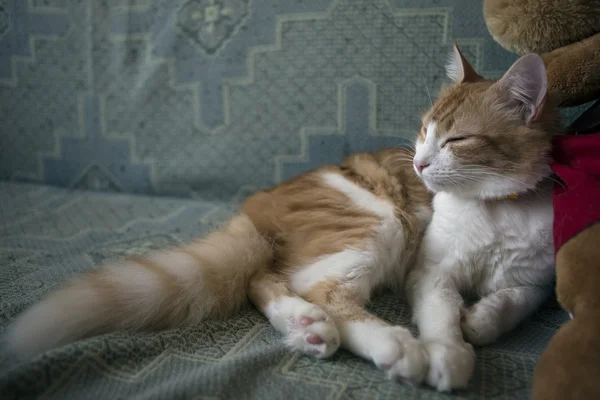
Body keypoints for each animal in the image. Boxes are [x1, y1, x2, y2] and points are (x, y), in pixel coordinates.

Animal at [4, 147, 436, 382]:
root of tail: (259, 204)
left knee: (263, 280)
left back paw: (304, 325)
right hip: (379, 220)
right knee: (321, 288)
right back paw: (391, 341)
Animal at [404, 46, 564, 390]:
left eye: (456, 140)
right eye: (425, 130)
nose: (418, 163)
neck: (496, 208)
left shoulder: (536, 284)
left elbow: (511, 302)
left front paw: (481, 319)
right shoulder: (431, 272)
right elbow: (442, 312)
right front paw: (449, 354)